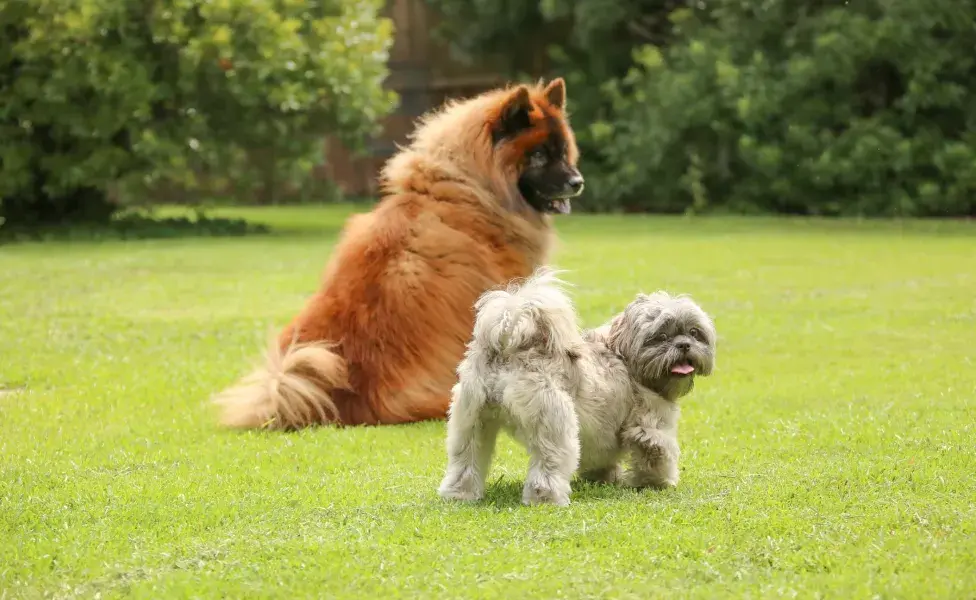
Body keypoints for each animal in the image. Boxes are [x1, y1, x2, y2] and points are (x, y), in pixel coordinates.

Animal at [438, 270, 712, 504]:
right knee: (548, 466)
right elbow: (658, 454)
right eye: (661, 337)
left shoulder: (600, 433)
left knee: (465, 462)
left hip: (471, 424)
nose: (684, 344)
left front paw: (603, 477)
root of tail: (512, 345)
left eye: (694, 333)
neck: (625, 356)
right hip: (553, 425)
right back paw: (546, 499)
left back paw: (459, 495)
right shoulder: (649, 427)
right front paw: (657, 483)